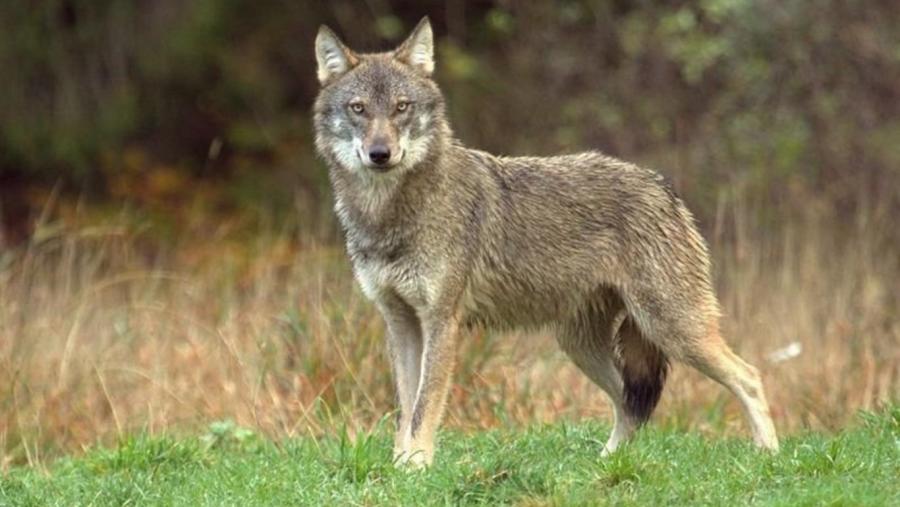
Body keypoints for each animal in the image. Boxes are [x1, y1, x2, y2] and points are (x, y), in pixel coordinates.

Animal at [313, 17, 779, 467]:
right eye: (358, 109)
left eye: (401, 107)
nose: (380, 153)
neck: (388, 214)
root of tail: (663, 187)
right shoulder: (400, 322)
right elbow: (405, 409)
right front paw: (399, 469)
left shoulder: (441, 322)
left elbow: (424, 408)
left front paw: (417, 469)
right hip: (582, 345)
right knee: (631, 403)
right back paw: (603, 464)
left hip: (675, 330)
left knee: (748, 376)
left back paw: (769, 456)